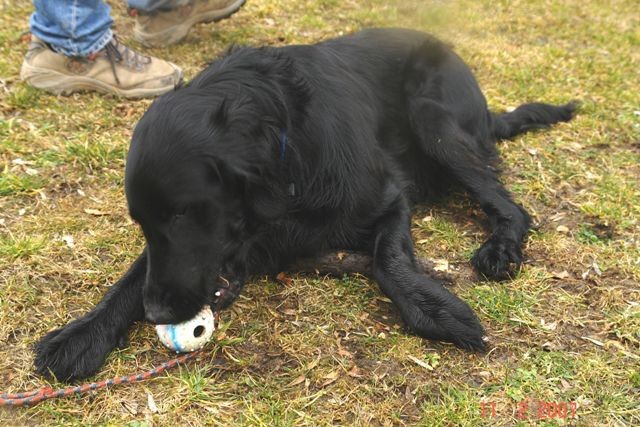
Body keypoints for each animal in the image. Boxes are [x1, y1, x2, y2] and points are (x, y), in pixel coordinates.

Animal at [33, 28, 576, 380]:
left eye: (184, 213)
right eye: (143, 220)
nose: (156, 313)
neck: (287, 141)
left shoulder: (389, 196)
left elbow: (390, 260)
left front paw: (434, 308)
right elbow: (131, 275)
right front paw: (80, 335)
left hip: (434, 120)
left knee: (510, 206)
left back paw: (501, 248)